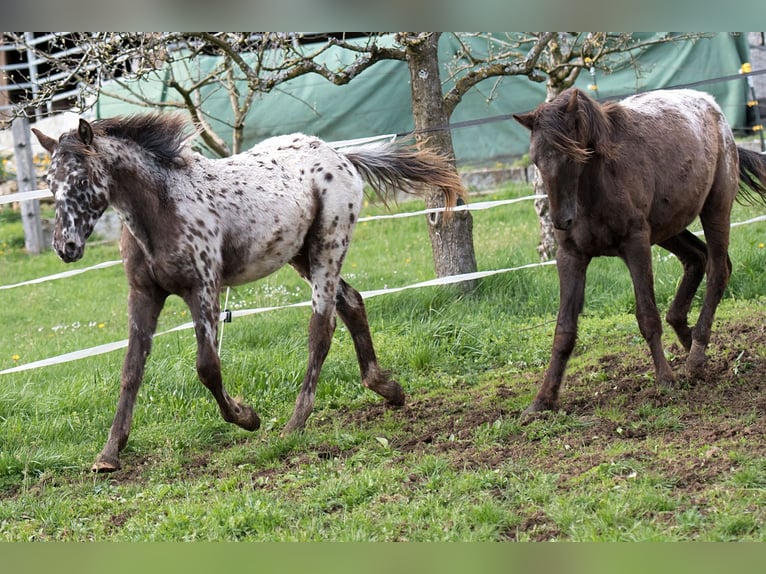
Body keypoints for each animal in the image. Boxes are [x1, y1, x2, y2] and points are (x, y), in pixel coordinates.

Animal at [34, 115, 468, 474]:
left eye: (82, 180)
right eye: (51, 185)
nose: (65, 247)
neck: (162, 207)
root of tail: (339, 155)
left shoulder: (203, 289)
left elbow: (207, 367)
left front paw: (248, 417)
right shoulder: (143, 295)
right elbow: (130, 371)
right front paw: (108, 455)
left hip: (328, 247)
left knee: (322, 329)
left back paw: (294, 424)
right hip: (300, 255)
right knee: (352, 302)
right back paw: (388, 389)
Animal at [512, 88, 766, 416]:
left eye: (572, 155)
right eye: (536, 159)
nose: (561, 221)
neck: (596, 186)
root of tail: (712, 106)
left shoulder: (635, 244)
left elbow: (647, 316)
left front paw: (665, 380)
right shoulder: (571, 256)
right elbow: (564, 331)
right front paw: (542, 400)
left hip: (715, 208)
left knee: (718, 270)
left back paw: (696, 356)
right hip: (667, 229)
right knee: (697, 259)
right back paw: (690, 343)